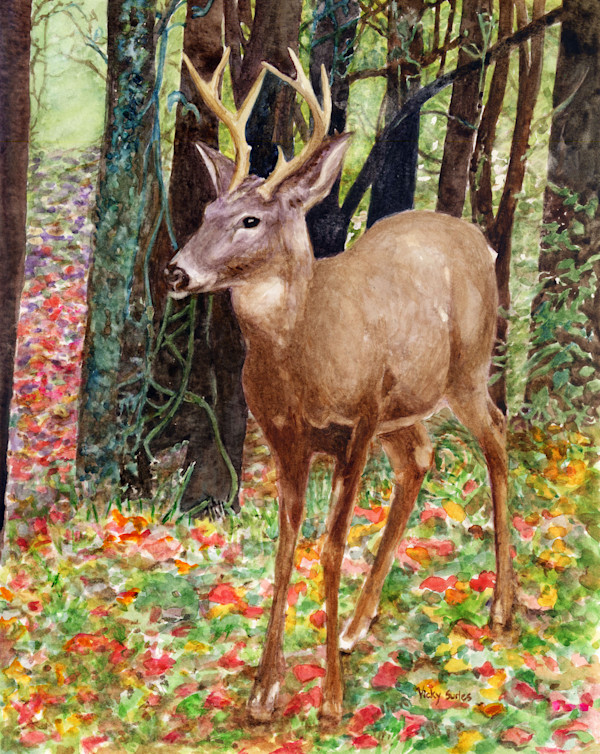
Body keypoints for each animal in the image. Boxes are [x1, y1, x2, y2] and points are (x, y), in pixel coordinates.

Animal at [164, 48, 515, 727]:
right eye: (207, 214)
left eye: (250, 219)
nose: (176, 270)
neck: (302, 353)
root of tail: (478, 240)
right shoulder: (286, 435)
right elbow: (284, 547)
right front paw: (263, 693)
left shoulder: (357, 419)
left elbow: (328, 546)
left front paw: (329, 699)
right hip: (405, 407)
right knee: (420, 460)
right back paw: (356, 626)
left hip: (465, 370)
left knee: (498, 438)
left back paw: (502, 611)